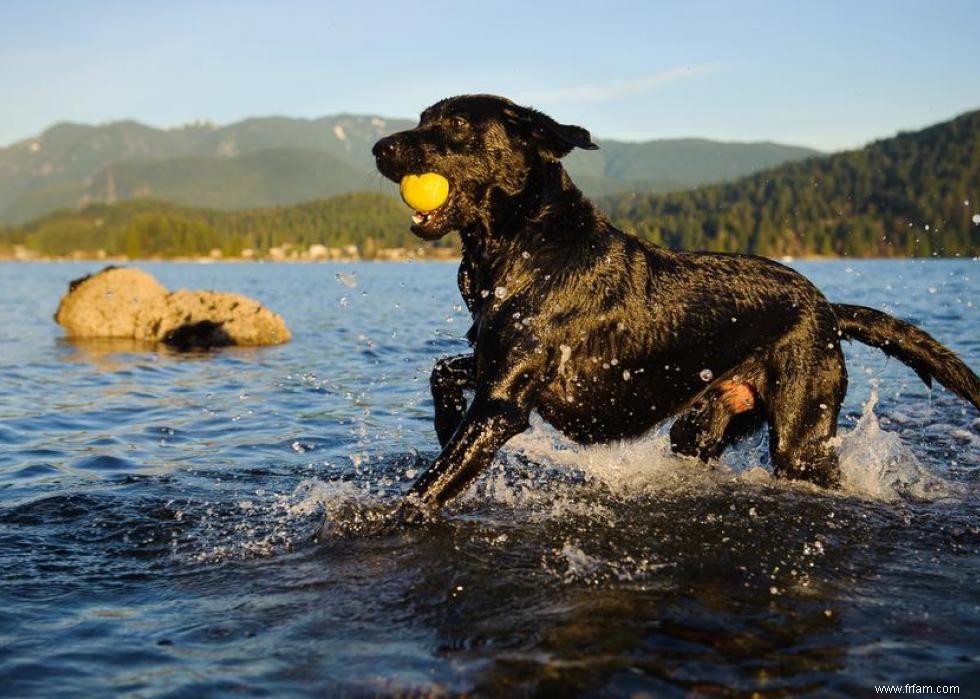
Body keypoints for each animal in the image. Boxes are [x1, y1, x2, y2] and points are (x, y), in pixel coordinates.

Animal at [372, 93, 976, 508]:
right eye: (422, 118)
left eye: (454, 125)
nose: (379, 148)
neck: (524, 245)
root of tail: (827, 308)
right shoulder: (492, 366)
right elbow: (442, 370)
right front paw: (444, 419)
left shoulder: (503, 403)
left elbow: (427, 490)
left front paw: (386, 521)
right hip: (703, 424)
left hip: (800, 436)